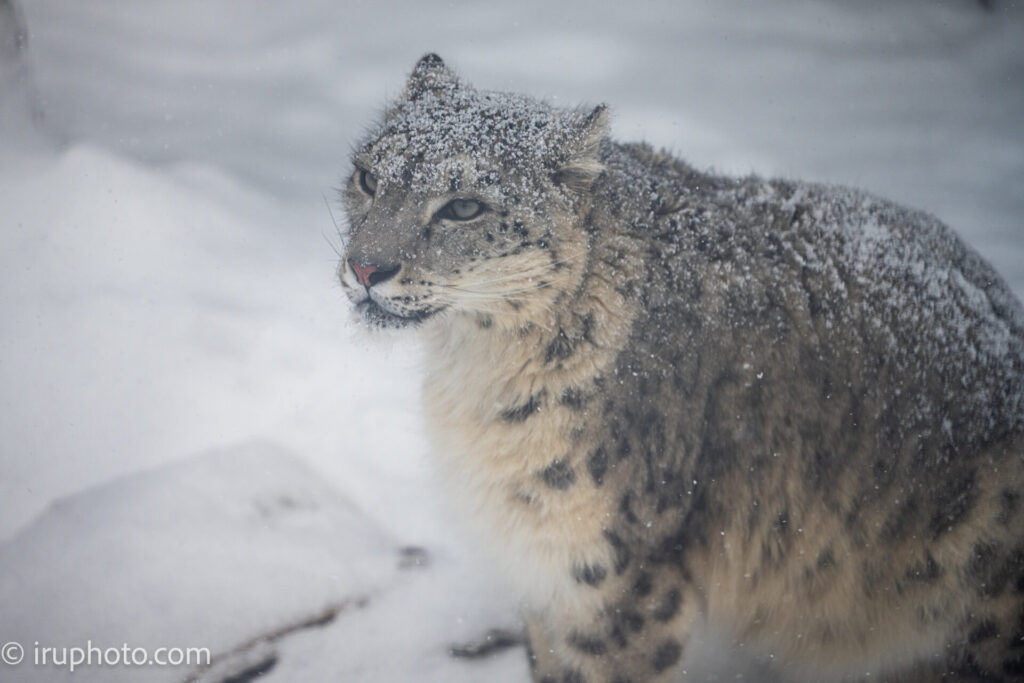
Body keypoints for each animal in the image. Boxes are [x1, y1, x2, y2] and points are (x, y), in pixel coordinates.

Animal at [337, 54, 1024, 683]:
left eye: (464, 207)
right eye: (369, 176)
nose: (367, 267)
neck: (474, 375)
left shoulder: (609, 577)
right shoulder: (541, 567)